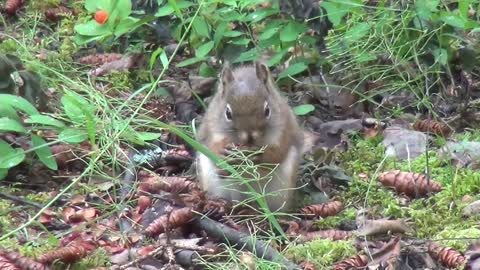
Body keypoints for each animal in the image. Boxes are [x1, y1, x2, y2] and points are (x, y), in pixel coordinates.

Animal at [196, 60, 304, 212]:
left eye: (267, 110)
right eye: (228, 113)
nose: (249, 136)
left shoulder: (284, 131)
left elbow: (278, 153)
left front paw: (260, 155)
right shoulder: (211, 128)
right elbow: (212, 147)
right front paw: (224, 154)